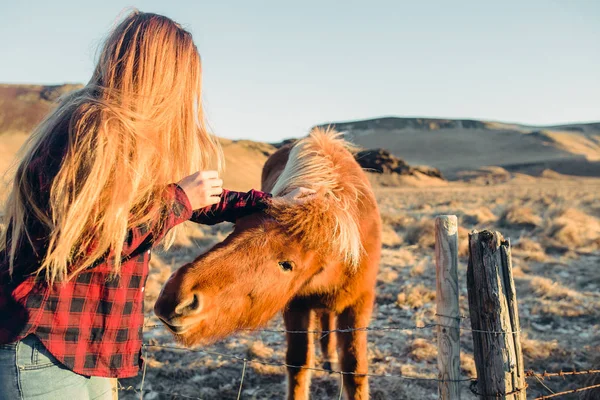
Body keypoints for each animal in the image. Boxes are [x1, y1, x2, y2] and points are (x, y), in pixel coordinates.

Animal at [154, 129, 380, 400]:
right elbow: (298, 362)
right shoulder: (295, 306)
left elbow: (354, 369)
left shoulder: (359, 302)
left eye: (287, 264)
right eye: (235, 227)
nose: (176, 297)